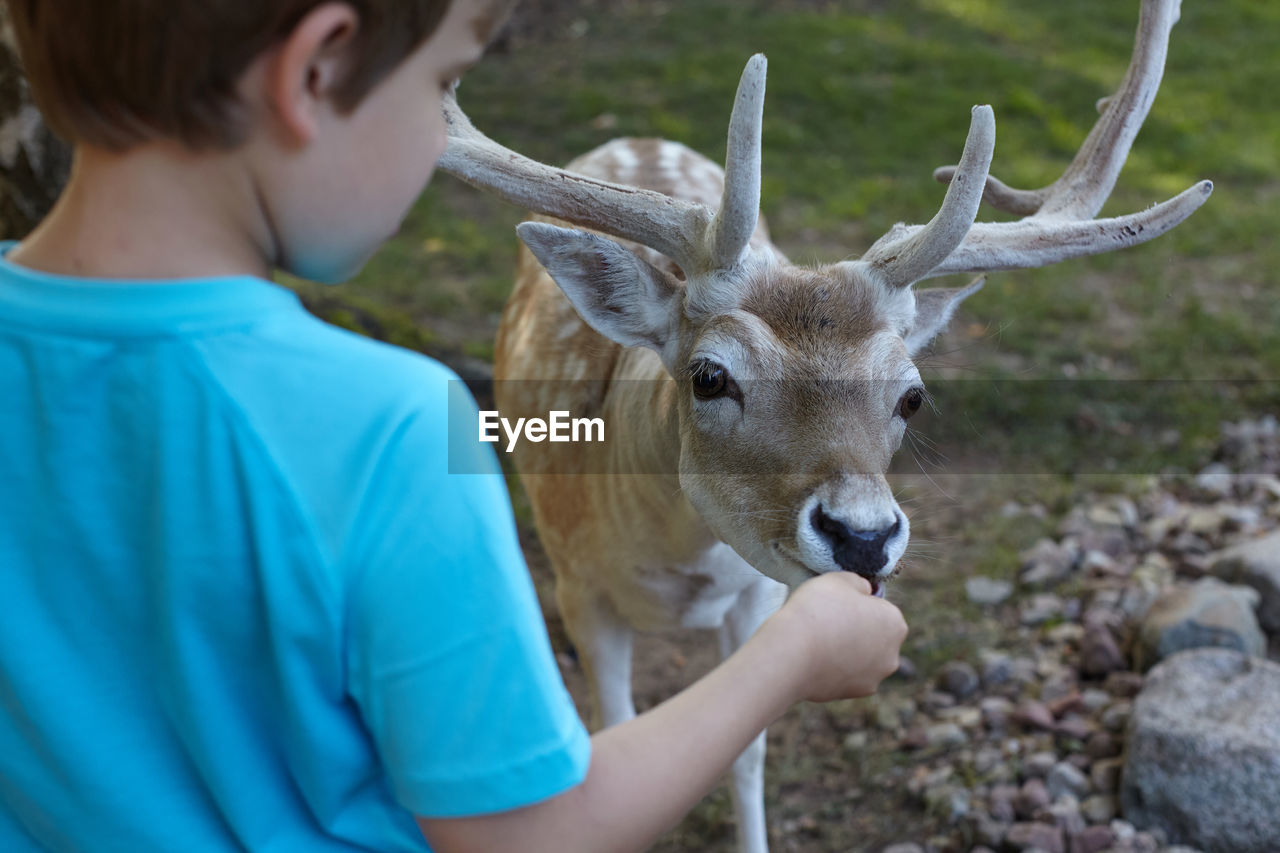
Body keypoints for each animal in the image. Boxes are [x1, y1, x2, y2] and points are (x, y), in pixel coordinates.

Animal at [435, 3, 1203, 845]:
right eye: (710, 375)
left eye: (912, 396)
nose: (864, 536)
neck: (671, 560)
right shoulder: (580, 585)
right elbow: (615, 743)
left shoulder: (755, 595)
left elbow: (744, 750)